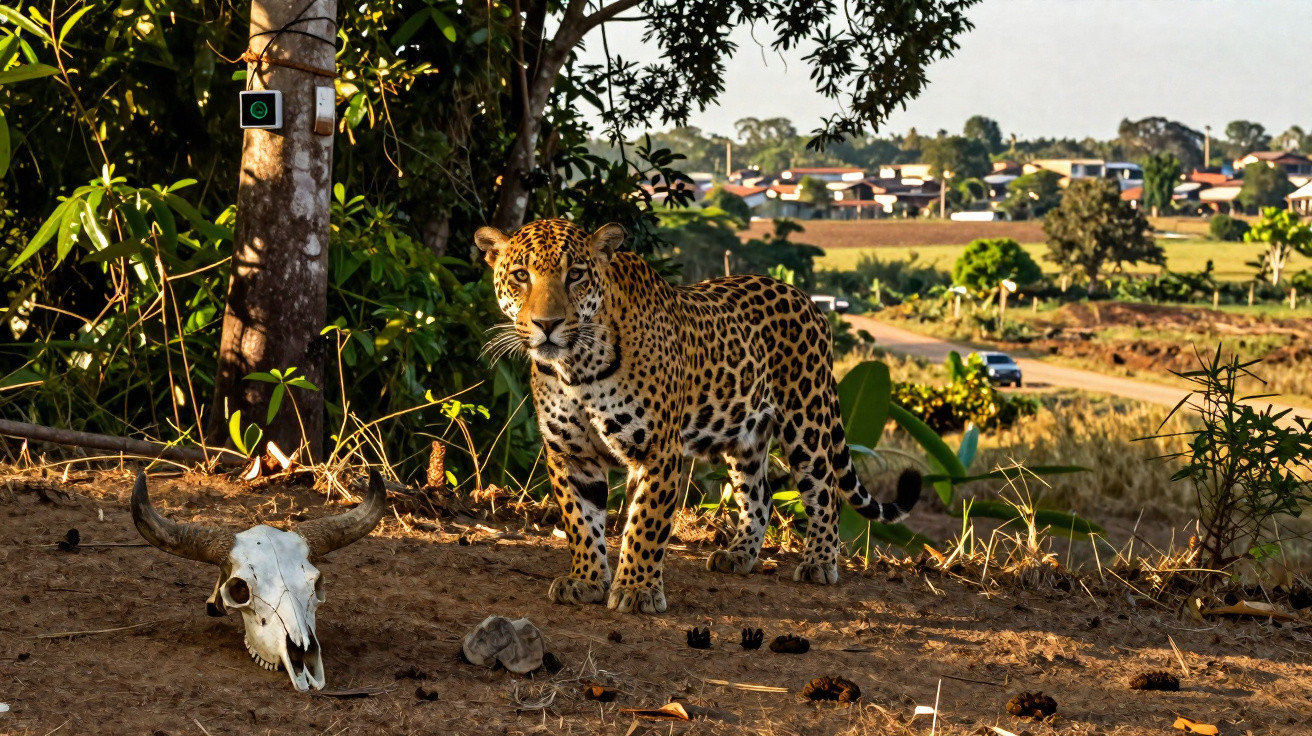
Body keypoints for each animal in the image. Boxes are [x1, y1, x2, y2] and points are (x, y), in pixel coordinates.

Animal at [475, 218, 921, 614]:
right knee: (760, 496)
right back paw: (738, 555)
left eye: (576, 275)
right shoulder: (570, 454)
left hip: (807, 418)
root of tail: (806, 299)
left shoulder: (658, 451)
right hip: (746, 437)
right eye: (521, 275)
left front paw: (636, 590)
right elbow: (580, 522)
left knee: (825, 490)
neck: (577, 367)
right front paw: (586, 580)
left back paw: (819, 562)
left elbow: (645, 524)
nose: (547, 324)